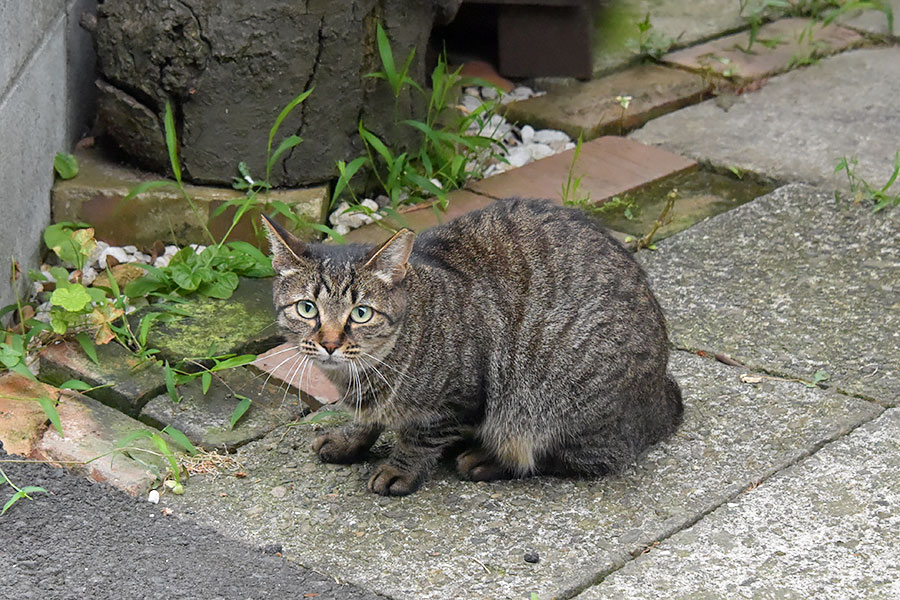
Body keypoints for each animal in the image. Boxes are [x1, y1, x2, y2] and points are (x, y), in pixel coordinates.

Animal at [260, 199, 684, 494]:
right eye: (307, 308)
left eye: (361, 313)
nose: (330, 343)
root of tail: (661, 397)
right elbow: (370, 419)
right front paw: (351, 439)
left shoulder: (458, 397)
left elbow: (419, 439)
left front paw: (400, 469)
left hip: (551, 399)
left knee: (576, 457)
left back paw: (486, 460)